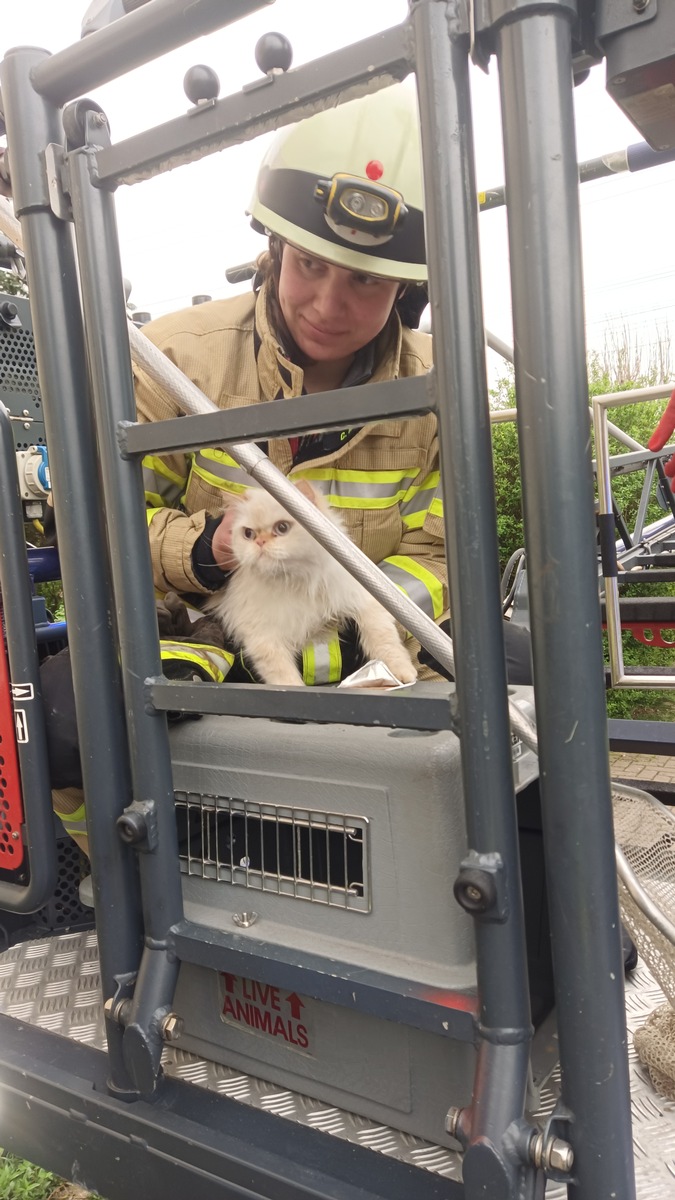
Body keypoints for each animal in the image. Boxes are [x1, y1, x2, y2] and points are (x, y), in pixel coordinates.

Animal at [205, 477, 415, 686]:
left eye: (282, 528)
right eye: (248, 534)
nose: (260, 542)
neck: (295, 581)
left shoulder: (366, 600)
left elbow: (384, 639)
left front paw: (401, 673)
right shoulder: (263, 636)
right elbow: (284, 677)